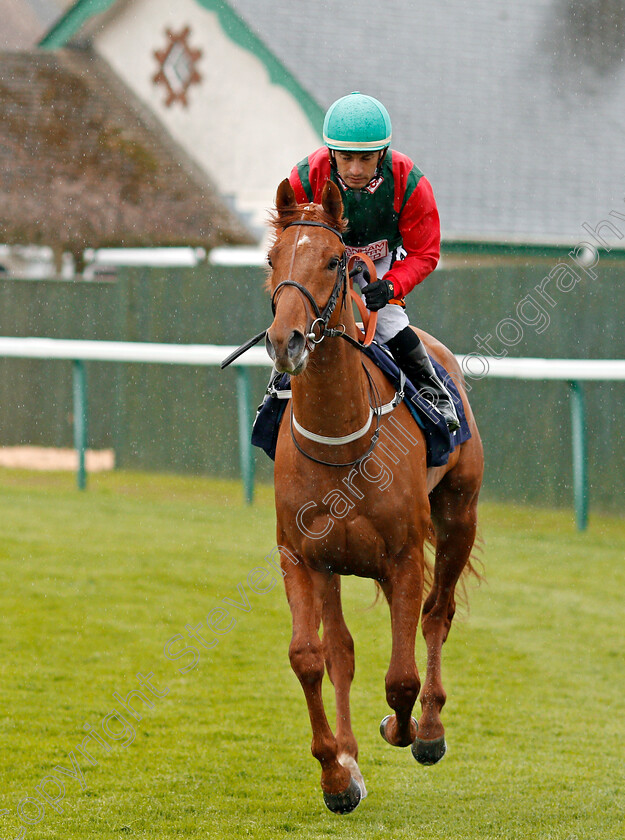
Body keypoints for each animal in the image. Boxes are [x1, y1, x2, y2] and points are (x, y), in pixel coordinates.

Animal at [264, 179, 482, 812]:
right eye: (272, 259)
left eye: (335, 260)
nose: (285, 341)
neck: (343, 438)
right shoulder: (301, 556)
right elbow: (312, 656)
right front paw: (337, 773)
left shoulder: (404, 557)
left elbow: (402, 677)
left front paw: (403, 729)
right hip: (335, 563)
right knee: (341, 649)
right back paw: (350, 759)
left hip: (459, 516)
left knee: (438, 614)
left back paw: (428, 729)